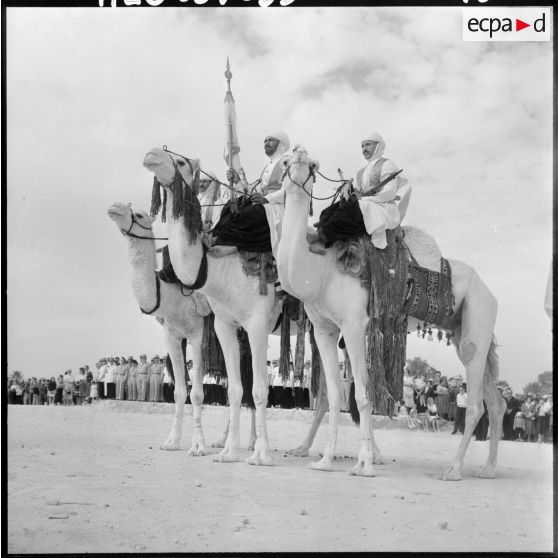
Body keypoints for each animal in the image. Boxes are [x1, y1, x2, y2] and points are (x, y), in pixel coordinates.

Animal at [108, 203, 260, 458]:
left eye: (138, 214)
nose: (113, 208)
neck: (171, 296)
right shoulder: (172, 337)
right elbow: (179, 392)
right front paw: (172, 441)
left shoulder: (198, 336)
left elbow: (197, 393)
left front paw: (198, 446)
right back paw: (224, 441)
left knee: (248, 385)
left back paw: (251, 442)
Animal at [144, 148, 286, 468]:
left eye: (180, 161)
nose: (150, 154)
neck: (219, 267)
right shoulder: (224, 324)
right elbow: (235, 389)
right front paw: (228, 452)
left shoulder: (257, 324)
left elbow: (260, 390)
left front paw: (262, 455)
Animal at [278, 149, 510, 482]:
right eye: (285, 162)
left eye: (312, 165)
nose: (297, 154)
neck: (318, 270)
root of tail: (490, 293)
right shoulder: (324, 328)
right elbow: (334, 395)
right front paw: (324, 461)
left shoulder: (354, 324)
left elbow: (362, 395)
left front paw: (364, 465)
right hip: (462, 329)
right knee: (496, 402)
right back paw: (488, 469)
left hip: (478, 316)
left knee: (477, 403)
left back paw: (453, 470)